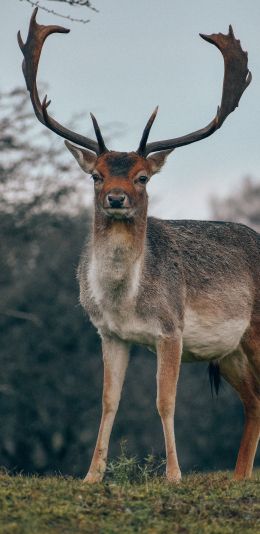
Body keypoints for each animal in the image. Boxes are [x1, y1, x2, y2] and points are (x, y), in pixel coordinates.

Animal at [18, 9, 260, 486]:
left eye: (142, 177)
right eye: (96, 175)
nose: (116, 198)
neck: (125, 299)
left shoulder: (172, 329)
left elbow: (164, 401)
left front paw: (174, 475)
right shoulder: (109, 333)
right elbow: (108, 401)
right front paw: (91, 476)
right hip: (231, 352)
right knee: (255, 403)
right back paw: (239, 477)